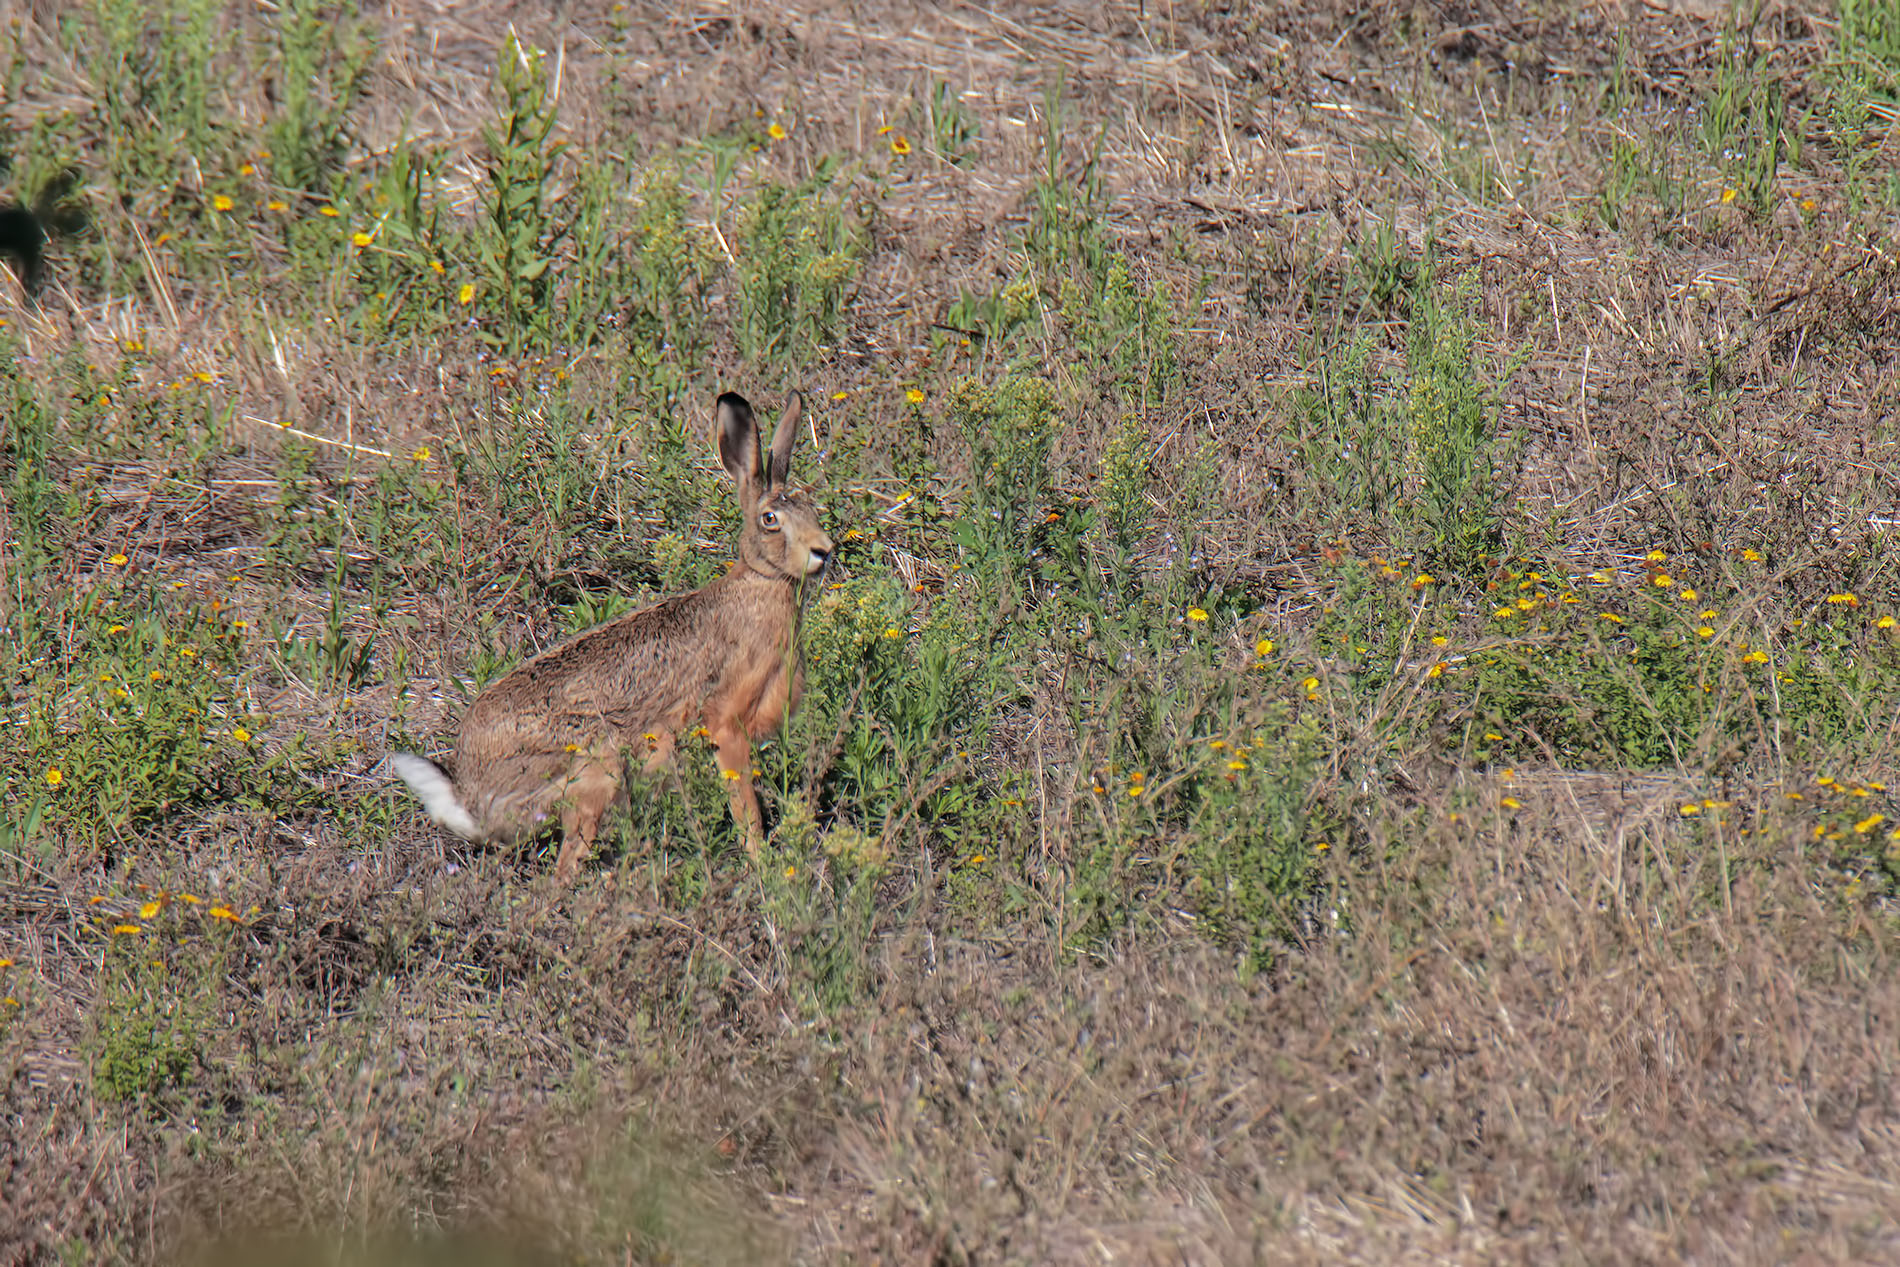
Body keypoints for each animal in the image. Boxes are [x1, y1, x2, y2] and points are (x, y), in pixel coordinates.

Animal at [389, 390, 833, 883]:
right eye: (771, 519)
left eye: (813, 509)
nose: (824, 551)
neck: (763, 581)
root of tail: (472, 803)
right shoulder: (726, 726)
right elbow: (745, 806)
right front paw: (763, 865)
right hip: (594, 773)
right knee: (564, 870)